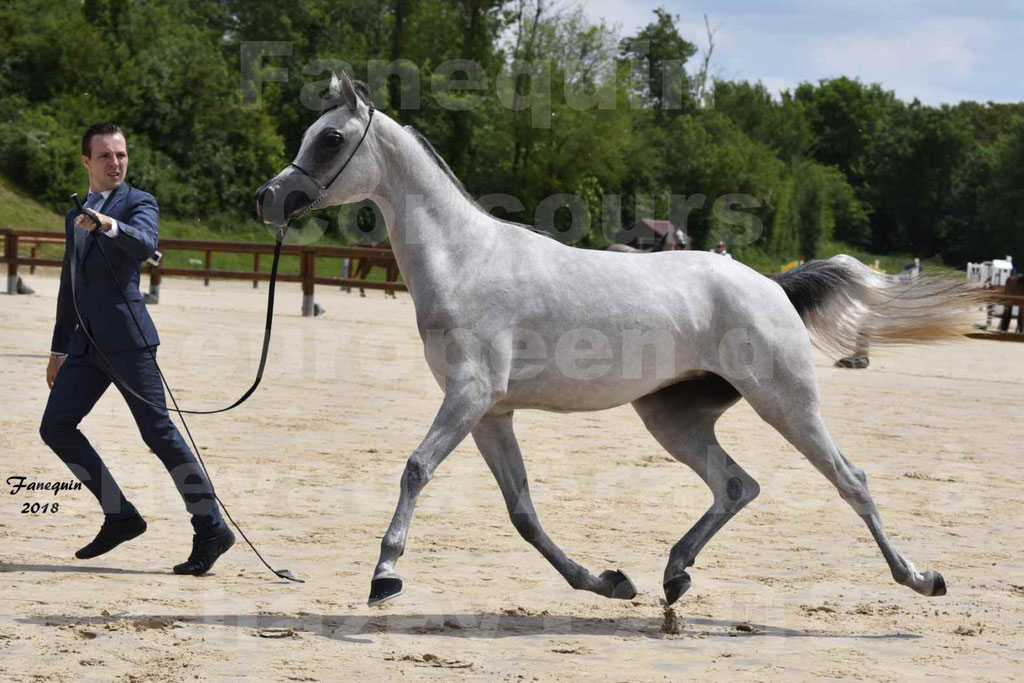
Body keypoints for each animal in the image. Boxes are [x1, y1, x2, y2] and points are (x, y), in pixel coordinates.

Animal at [256, 73, 974, 610]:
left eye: (331, 139)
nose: (268, 199)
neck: (466, 260)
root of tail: (772, 284)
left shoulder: (470, 394)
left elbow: (416, 468)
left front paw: (385, 574)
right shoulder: (491, 413)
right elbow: (522, 512)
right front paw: (606, 582)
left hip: (786, 404)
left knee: (850, 480)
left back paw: (920, 578)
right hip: (672, 415)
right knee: (736, 485)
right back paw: (673, 575)